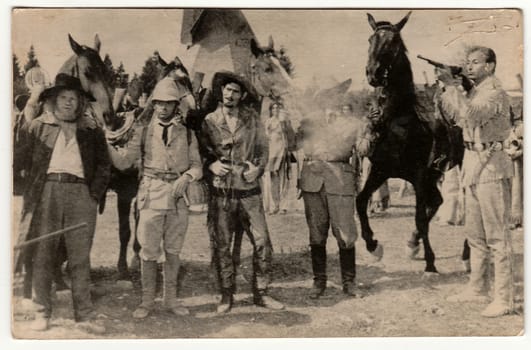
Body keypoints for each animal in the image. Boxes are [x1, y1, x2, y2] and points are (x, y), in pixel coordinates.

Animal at [360, 11, 450, 274]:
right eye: (371, 39)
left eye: (393, 43)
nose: (373, 73)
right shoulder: (380, 170)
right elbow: (360, 201)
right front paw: (373, 246)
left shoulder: (419, 175)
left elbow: (419, 216)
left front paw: (430, 261)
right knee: (437, 201)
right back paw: (412, 242)